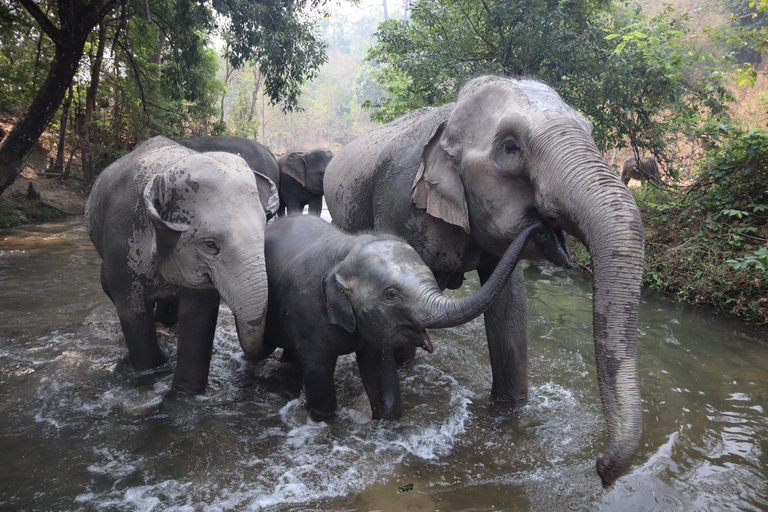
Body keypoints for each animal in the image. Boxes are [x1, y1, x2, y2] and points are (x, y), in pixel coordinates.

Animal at [87, 135, 280, 392]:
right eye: (210, 245)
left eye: (264, 230)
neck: (168, 170)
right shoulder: (121, 243)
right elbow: (132, 311)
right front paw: (152, 371)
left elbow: (198, 318)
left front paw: (187, 390)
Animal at [262, 214, 544, 422]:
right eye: (391, 294)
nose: (539, 224)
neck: (346, 249)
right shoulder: (306, 309)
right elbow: (320, 378)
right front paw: (328, 420)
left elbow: (381, 372)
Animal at [320, 76, 644, 488]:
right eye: (510, 148)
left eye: (589, 130)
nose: (602, 468)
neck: (448, 120)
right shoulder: (394, 201)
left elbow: (509, 305)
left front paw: (509, 415)